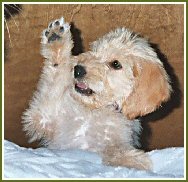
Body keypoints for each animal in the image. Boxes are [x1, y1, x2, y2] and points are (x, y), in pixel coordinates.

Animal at [21, 17, 171, 171]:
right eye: (94, 50)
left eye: (116, 64)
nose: (77, 70)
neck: (93, 112)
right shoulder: (44, 116)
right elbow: (55, 77)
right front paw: (57, 40)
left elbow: (116, 150)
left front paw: (131, 161)